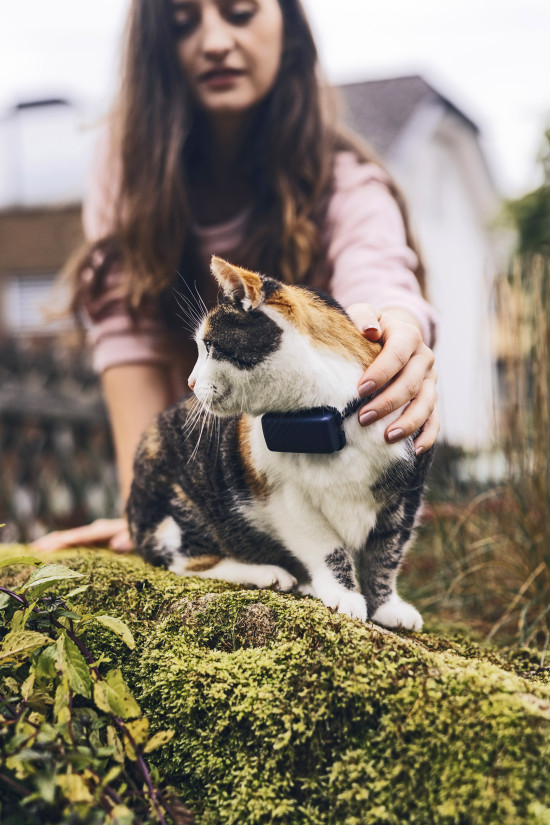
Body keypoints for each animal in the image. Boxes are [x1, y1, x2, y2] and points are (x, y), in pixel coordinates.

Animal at [126, 254, 436, 628]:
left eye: (210, 345)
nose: (190, 381)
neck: (332, 420)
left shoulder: (408, 491)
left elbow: (387, 552)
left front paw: (387, 605)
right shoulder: (286, 498)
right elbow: (326, 546)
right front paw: (344, 595)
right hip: (180, 510)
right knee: (186, 561)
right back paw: (268, 574)